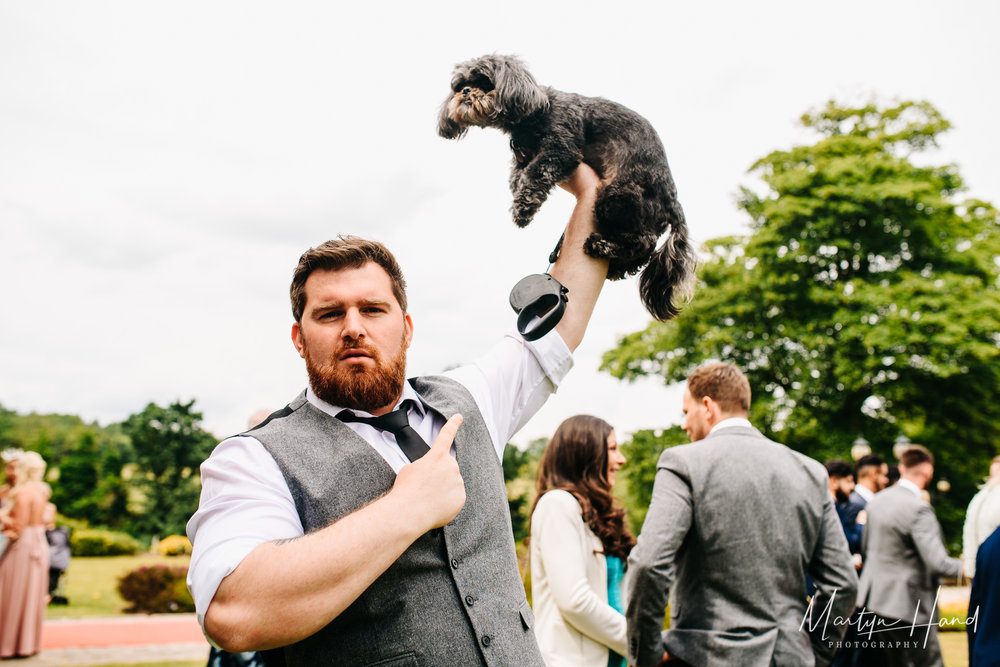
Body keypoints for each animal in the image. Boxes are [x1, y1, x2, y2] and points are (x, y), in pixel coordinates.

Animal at [438, 54, 696, 320]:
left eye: (484, 81)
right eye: (459, 86)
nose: (465, 92)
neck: (536, 110)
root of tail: (673, 201)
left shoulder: (561, 147)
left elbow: (536, 172)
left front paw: (523, 209)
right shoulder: (524, 154)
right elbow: (518, 173)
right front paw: (516, 189)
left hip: (616, 197)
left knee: (644, 241)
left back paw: (601, 245)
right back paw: (616, 267)